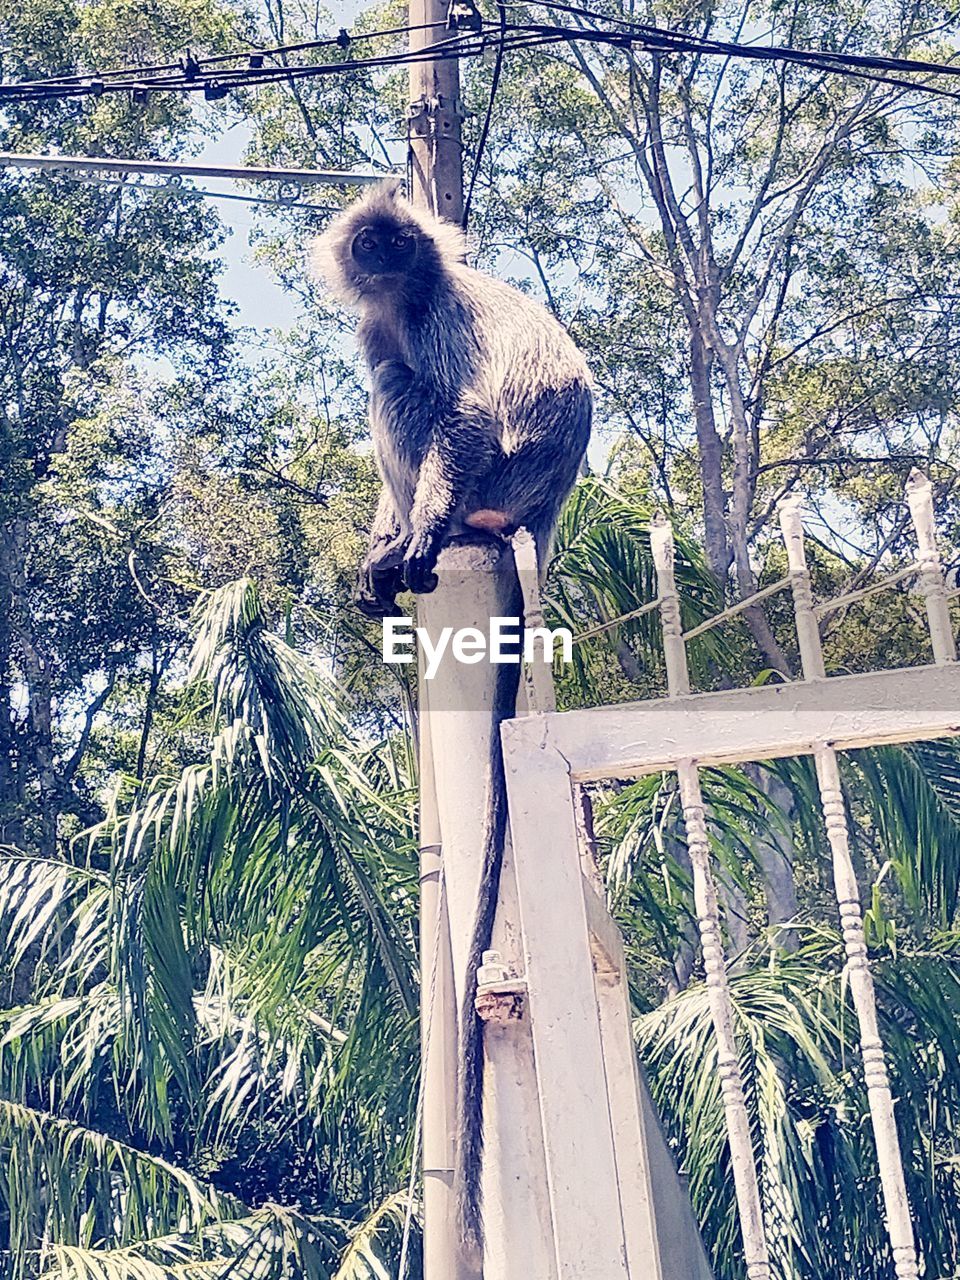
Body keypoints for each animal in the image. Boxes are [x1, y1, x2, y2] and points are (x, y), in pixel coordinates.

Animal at [312, 183, 593, 1259]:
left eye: (399, 241)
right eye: (371, 242)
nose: (389, 256)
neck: (405, 297)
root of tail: (538, 516)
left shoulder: (435, 314)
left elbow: (463, 412)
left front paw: (412, 536)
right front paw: (381, 544)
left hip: (493, 490)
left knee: (407, 395)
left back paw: (421, 544)